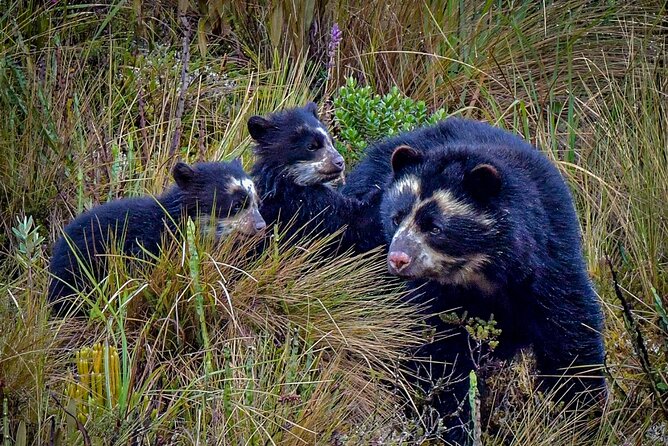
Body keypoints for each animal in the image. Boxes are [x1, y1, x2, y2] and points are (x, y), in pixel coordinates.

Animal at [344, 118, 604, 442]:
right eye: (395, 217)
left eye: (435, 227)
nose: (398, 259)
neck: (483, 271)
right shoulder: (431, 295)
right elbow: (436, 355)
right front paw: (454, 425)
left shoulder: (550, 261)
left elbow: (570, 334)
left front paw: (582, 417)